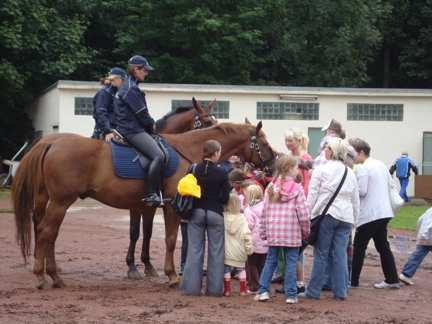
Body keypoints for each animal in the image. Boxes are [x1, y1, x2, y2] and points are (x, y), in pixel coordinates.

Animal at [27, 97, 216, 280]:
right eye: (207, 122)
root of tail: (46, 142)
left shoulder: (149, 205)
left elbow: (147, 232)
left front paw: (147, 265)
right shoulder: (137, 205)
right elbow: (134, 232)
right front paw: (132, 267)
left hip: (46, 195)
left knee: (40, 222)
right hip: (54, 197)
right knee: (41, 224)